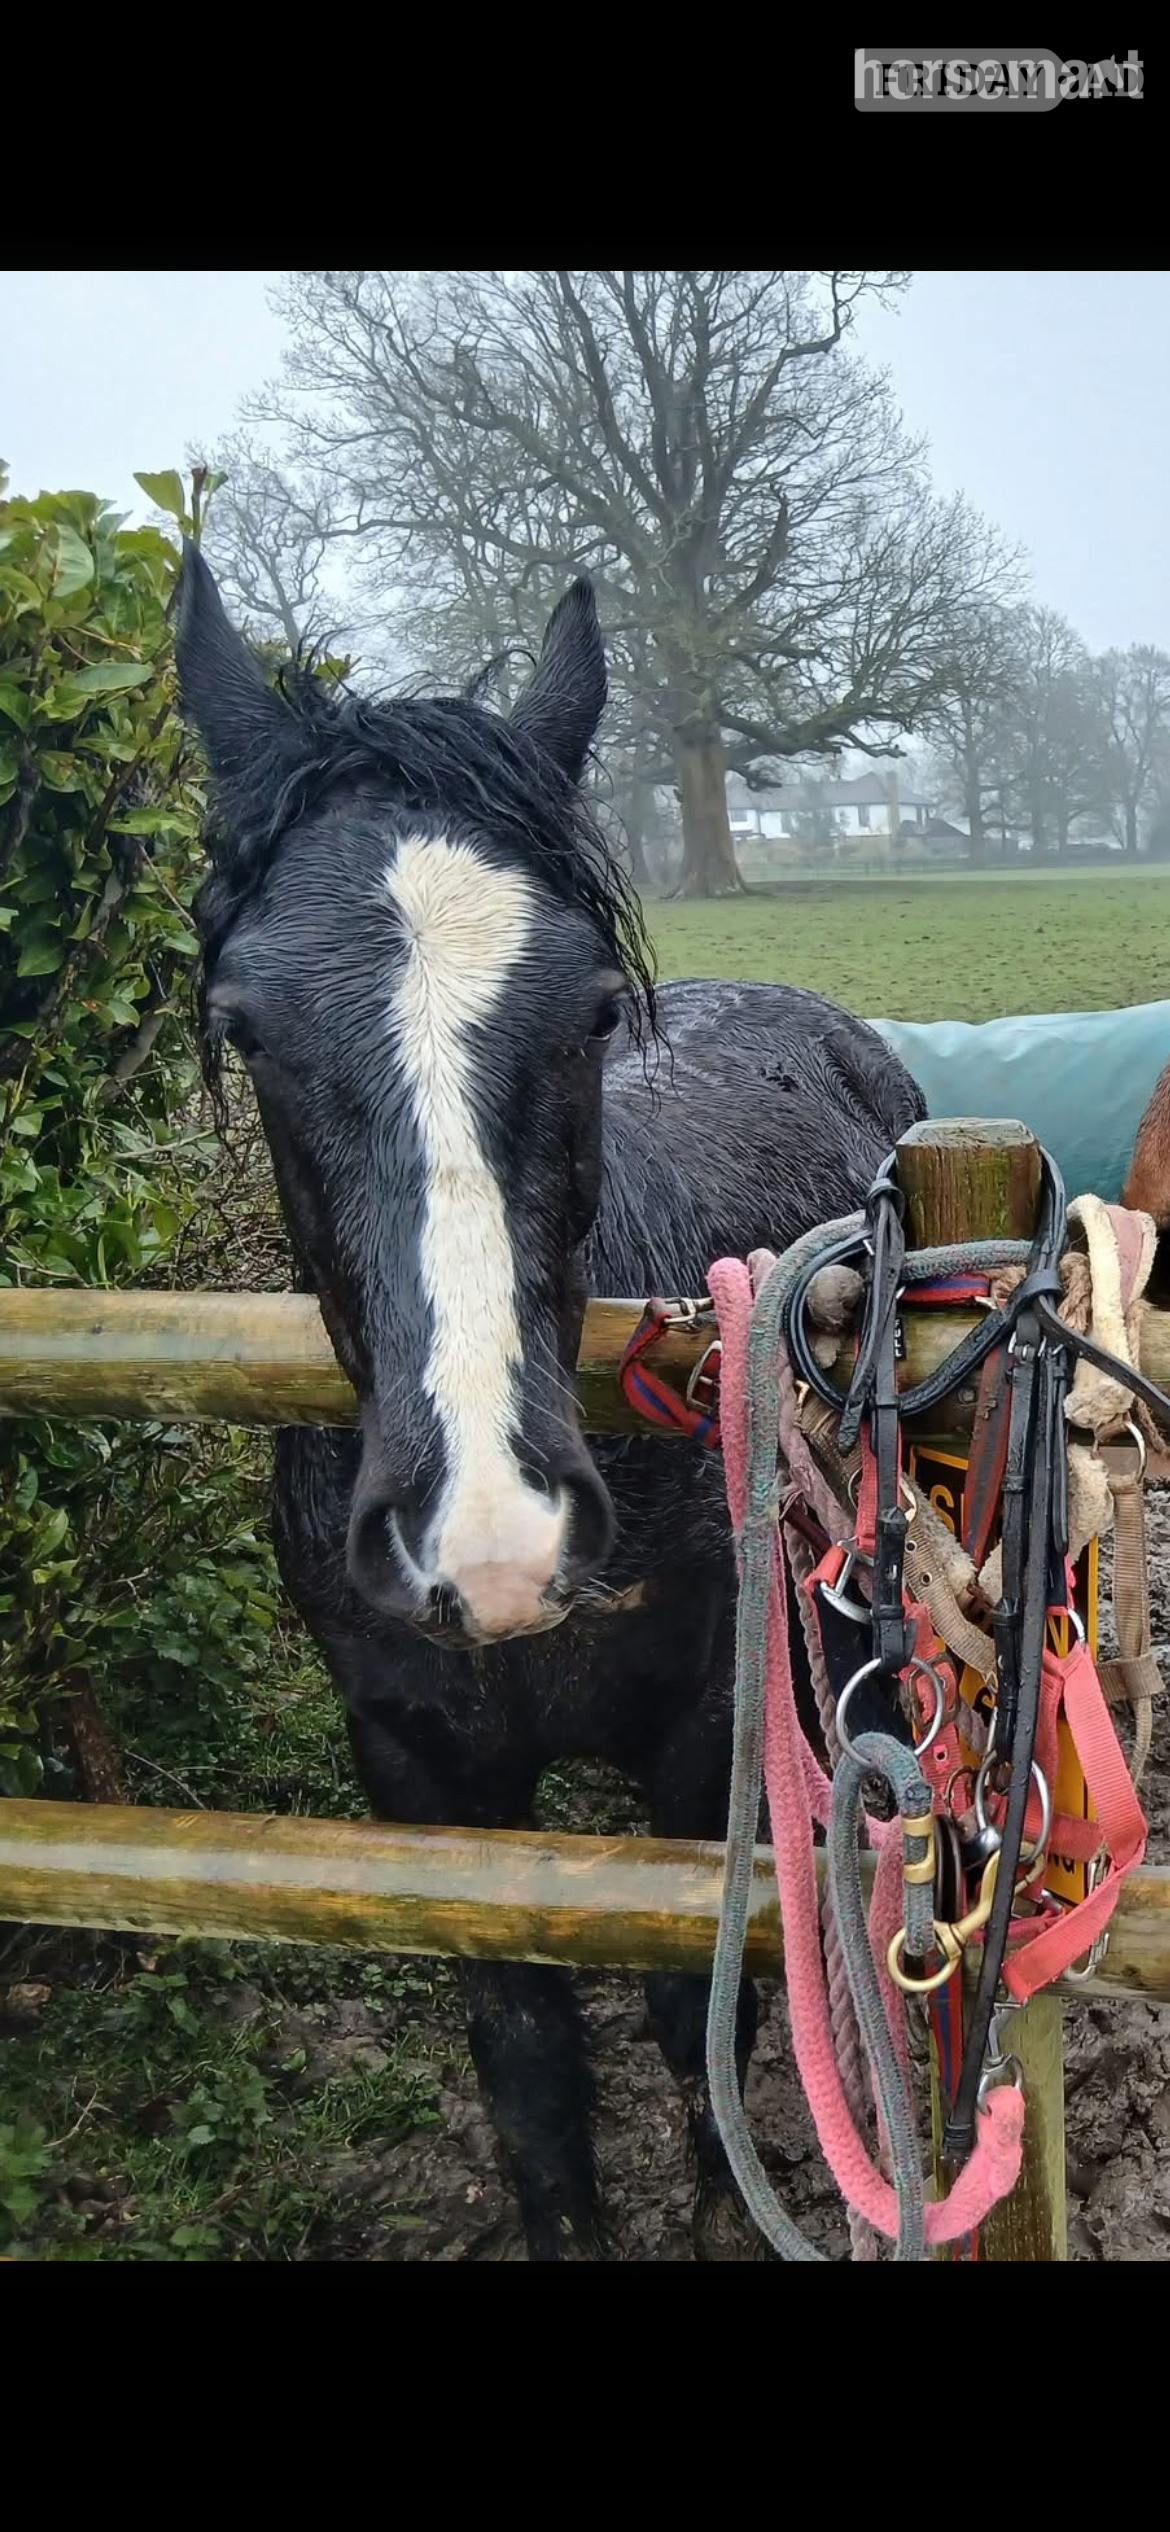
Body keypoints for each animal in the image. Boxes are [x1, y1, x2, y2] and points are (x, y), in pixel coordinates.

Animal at [175, 547, 927, 2260]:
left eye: (586, 1007)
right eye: (245, 1023)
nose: (493, 1535)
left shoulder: (694, 1742)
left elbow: (695, 2024)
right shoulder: (420, 1777)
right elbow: (527, 2066)